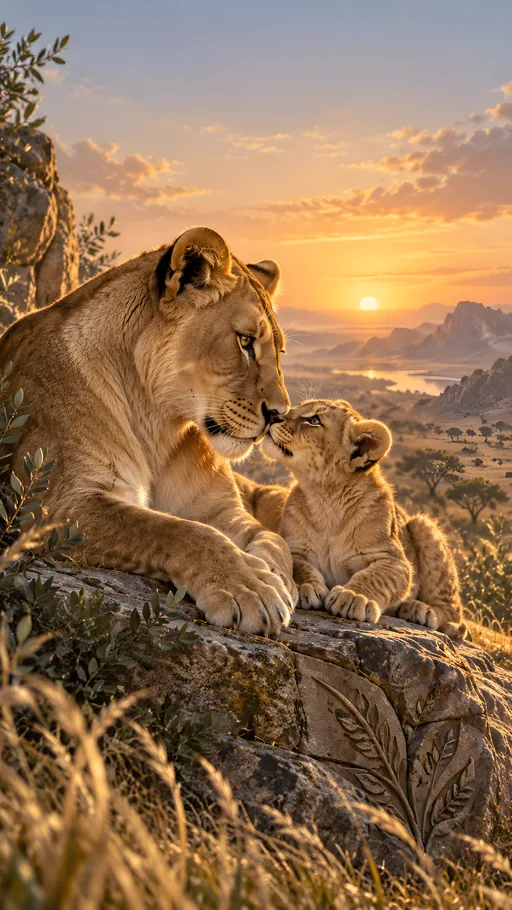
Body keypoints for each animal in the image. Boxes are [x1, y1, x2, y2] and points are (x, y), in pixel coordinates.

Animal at [0, 226, 298, 635]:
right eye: (245, 341)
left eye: (280, 352)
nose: (280, 415)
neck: (158, 424)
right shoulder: (52, 507)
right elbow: (181, 531)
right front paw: (248, 585)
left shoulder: (221, 509)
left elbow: (272, 538)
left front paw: (277, 575)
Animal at [256, 398, 466, 638]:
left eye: (315, 420)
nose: (273, 415)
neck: (326, 497)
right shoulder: (295, 547)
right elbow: (297, 566)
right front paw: (305, 587)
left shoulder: (393, 560)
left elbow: (375, 576)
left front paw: (354, 597)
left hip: (424, 525)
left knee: (455, 619)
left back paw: (419, 609)